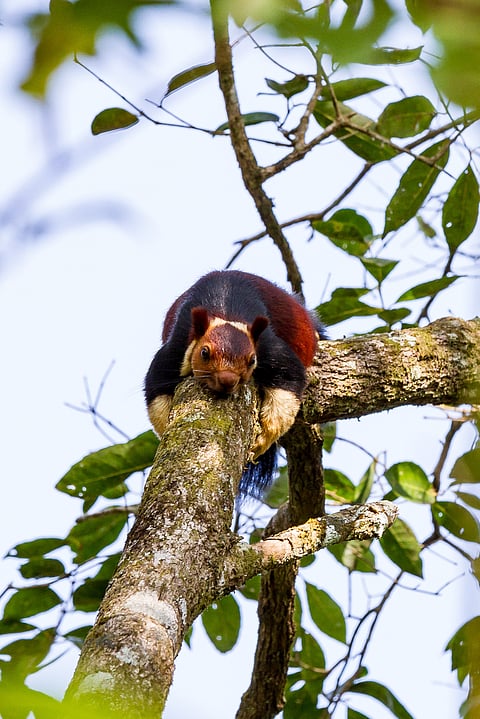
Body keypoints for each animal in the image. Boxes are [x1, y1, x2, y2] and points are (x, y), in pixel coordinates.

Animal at [144, 270, 324, 497]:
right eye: (204, 353)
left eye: (252, 360)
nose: (227, 380)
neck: (226, 311)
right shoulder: (173, 351)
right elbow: (155, 391)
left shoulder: (271, 349)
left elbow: (289, 384)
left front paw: (261, 442)